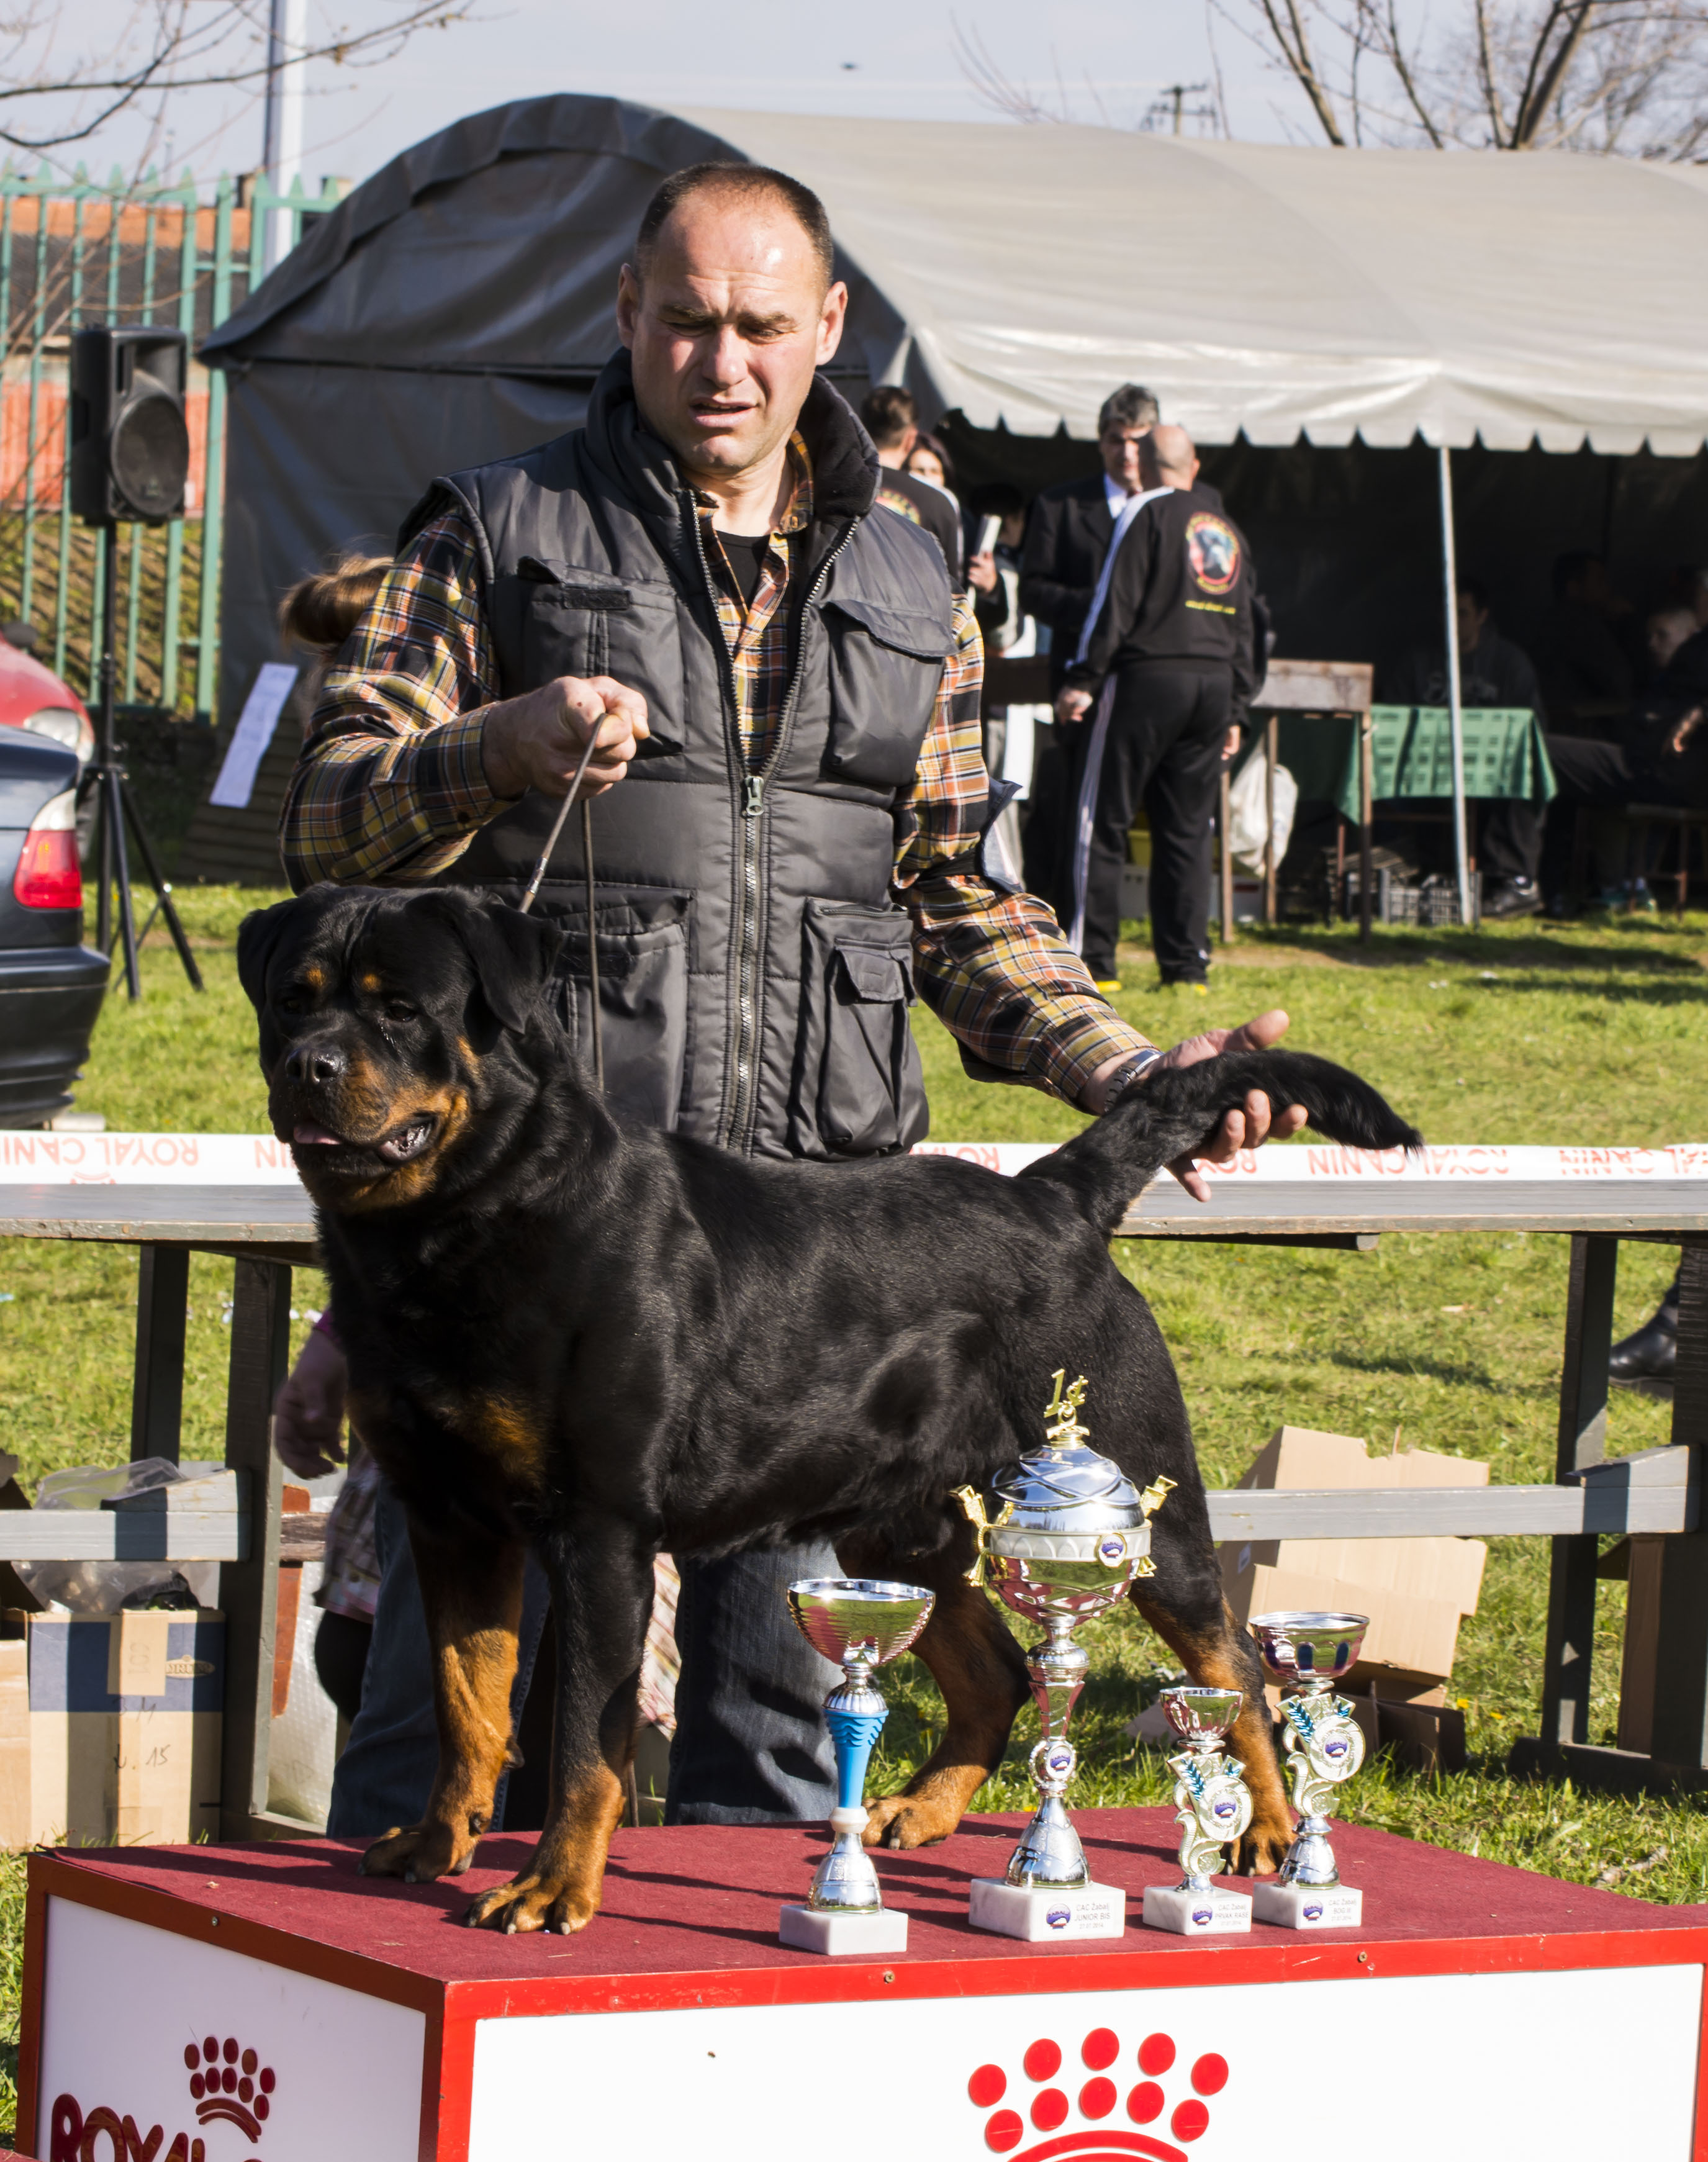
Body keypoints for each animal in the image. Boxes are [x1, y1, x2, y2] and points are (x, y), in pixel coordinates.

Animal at [234, 886, 1427, 1937]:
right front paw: (433, 1843)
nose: (309, 1065)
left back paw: (1268, 1830)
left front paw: (551, 1887)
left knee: (1235, 1668)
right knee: (1000, 1673)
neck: (457, 1227)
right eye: (293, 999)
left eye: (401, 1008)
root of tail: (1051, 1196)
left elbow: (583, 1737)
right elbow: (464, 1699)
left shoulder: (599, 1531)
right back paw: (925, 1810)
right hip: (897, 1529)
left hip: (1143, 1511)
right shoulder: (450, 1517)